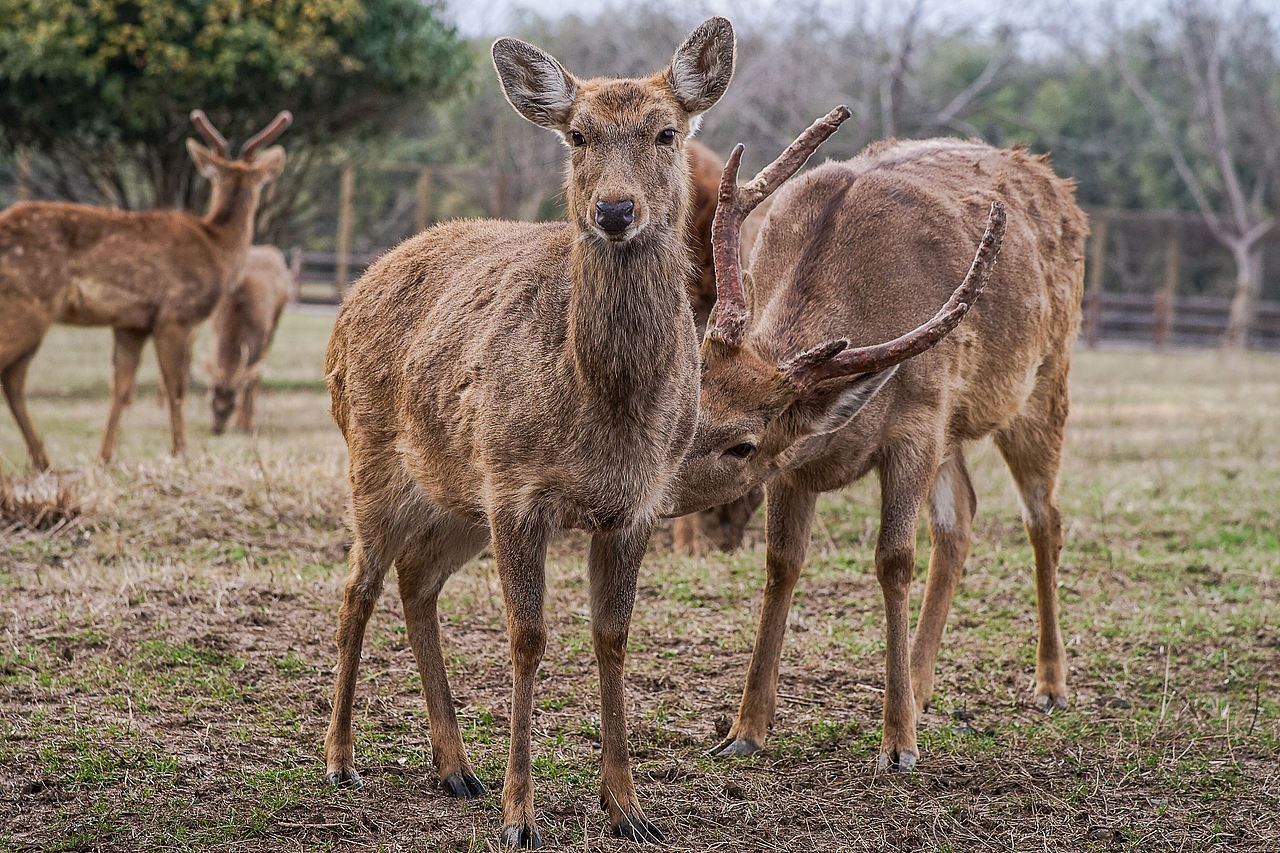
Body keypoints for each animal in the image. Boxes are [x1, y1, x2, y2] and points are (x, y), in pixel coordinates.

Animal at [205, 244, 293, 434]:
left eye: (233, 403)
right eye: (210, 398)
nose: (217, 428)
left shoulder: (261, 336)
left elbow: (252, 378)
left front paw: (245, 423)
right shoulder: (216, 328)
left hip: (275, 321)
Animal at [321, 19, 761, 849]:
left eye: (666, 131)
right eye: (577, 134)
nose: (616, 210)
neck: (605, 413)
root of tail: (351, 294)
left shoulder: (635, 505)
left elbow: (612, 636)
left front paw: (629, 808)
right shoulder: (517, 490)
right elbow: (527, 638)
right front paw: (520, 816)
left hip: (456, 497)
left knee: (416, 579)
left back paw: (455, 768)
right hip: (372, 458)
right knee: (357, 586)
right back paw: (339, 759)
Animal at [664, 113, 1088, 773]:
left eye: (743, 445)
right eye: (689, 406)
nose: (652, 495)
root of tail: (1057, 183)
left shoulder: (913, 428)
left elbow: (893, 560)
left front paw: (898, 745)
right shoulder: (797, 464)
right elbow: (782, 562)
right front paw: (743, 730)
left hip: (1042, 382)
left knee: (1044, 518)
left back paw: (1048, 685)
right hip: (953, 426)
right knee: (962, 517)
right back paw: (920, 684)